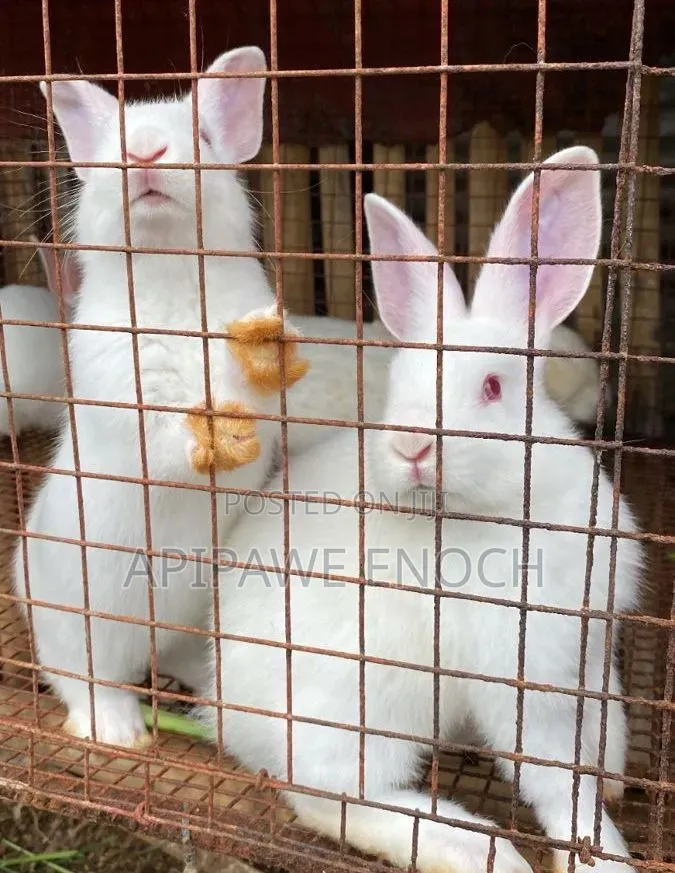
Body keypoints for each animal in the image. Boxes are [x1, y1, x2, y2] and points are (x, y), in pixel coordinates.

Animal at [12, 46, 317, 749]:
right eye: (111, 149)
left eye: (201, 137)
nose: (146, 152)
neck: (168, 266)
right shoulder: (119, 388)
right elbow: (159, 444)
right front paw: (216, 438)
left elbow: (255, 389)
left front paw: (268, 350)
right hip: (77, 626)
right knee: (83, 679)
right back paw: (120, 730)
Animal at [196, 147, 642, 873]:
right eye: (397, 387)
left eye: (491, 386)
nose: (410, 443)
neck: (503, 509)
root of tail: (223, 711)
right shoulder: (520, 684)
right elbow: (556, 784)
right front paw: (601, 855)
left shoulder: (590, 650)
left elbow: (606, 720)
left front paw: (615, 774)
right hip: (356, 713)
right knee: (334, 798)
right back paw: (476, 846)